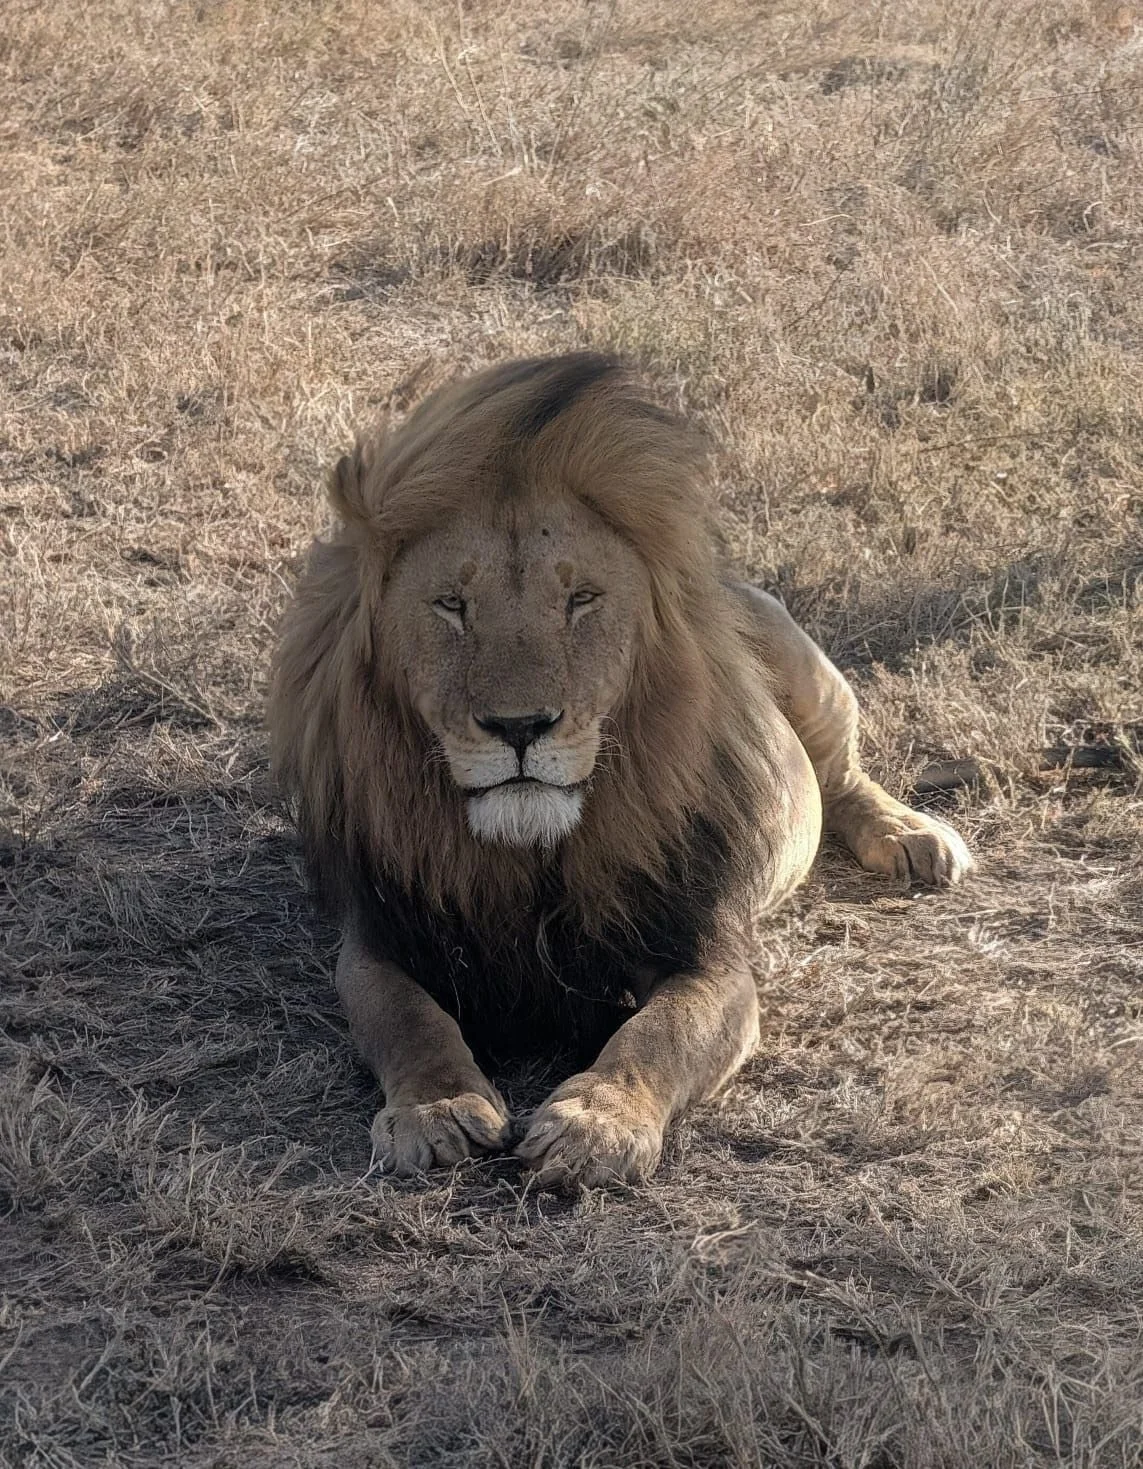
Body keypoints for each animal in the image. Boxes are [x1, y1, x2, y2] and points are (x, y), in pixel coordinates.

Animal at [269, 352, 972, 1188]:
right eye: (450, 605)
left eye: (581, 599)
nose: (519, 726)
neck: (529, 856)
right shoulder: (381, 937)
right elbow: (408, 1019)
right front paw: (433, 1111)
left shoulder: (701, 951)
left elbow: (659, 1033)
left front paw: (594, 1123)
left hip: (803, 665)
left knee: (840, 773)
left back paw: (909, 836)